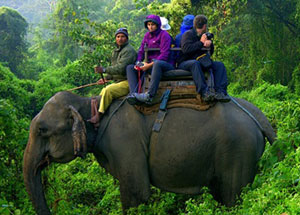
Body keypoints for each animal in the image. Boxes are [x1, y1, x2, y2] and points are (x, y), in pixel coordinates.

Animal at [23, 90, 276, 213]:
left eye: (42, 130)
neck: (91, 103)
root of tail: (258, 114)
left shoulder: (124, 141)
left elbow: (137, 193)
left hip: (238, 150)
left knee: (234, 196)